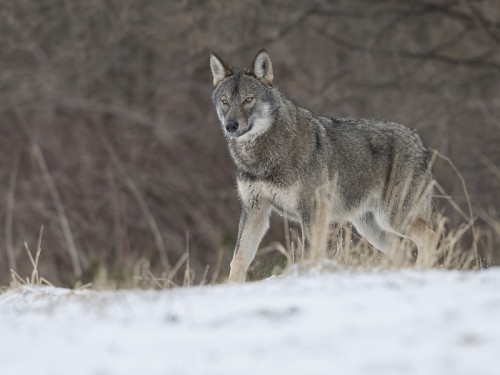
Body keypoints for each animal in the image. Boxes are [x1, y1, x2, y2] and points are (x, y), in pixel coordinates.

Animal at [209, 49, 436, 282]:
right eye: (225, 101)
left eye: (248, 100)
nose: (230, 126)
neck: (262, 158)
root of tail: (420, 142)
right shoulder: (254, 209)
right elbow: (239, 258)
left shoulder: (312, 211)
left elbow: (312, 254)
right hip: (372, 227)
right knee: (404, 253)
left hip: (393, 217)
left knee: (430, 237)